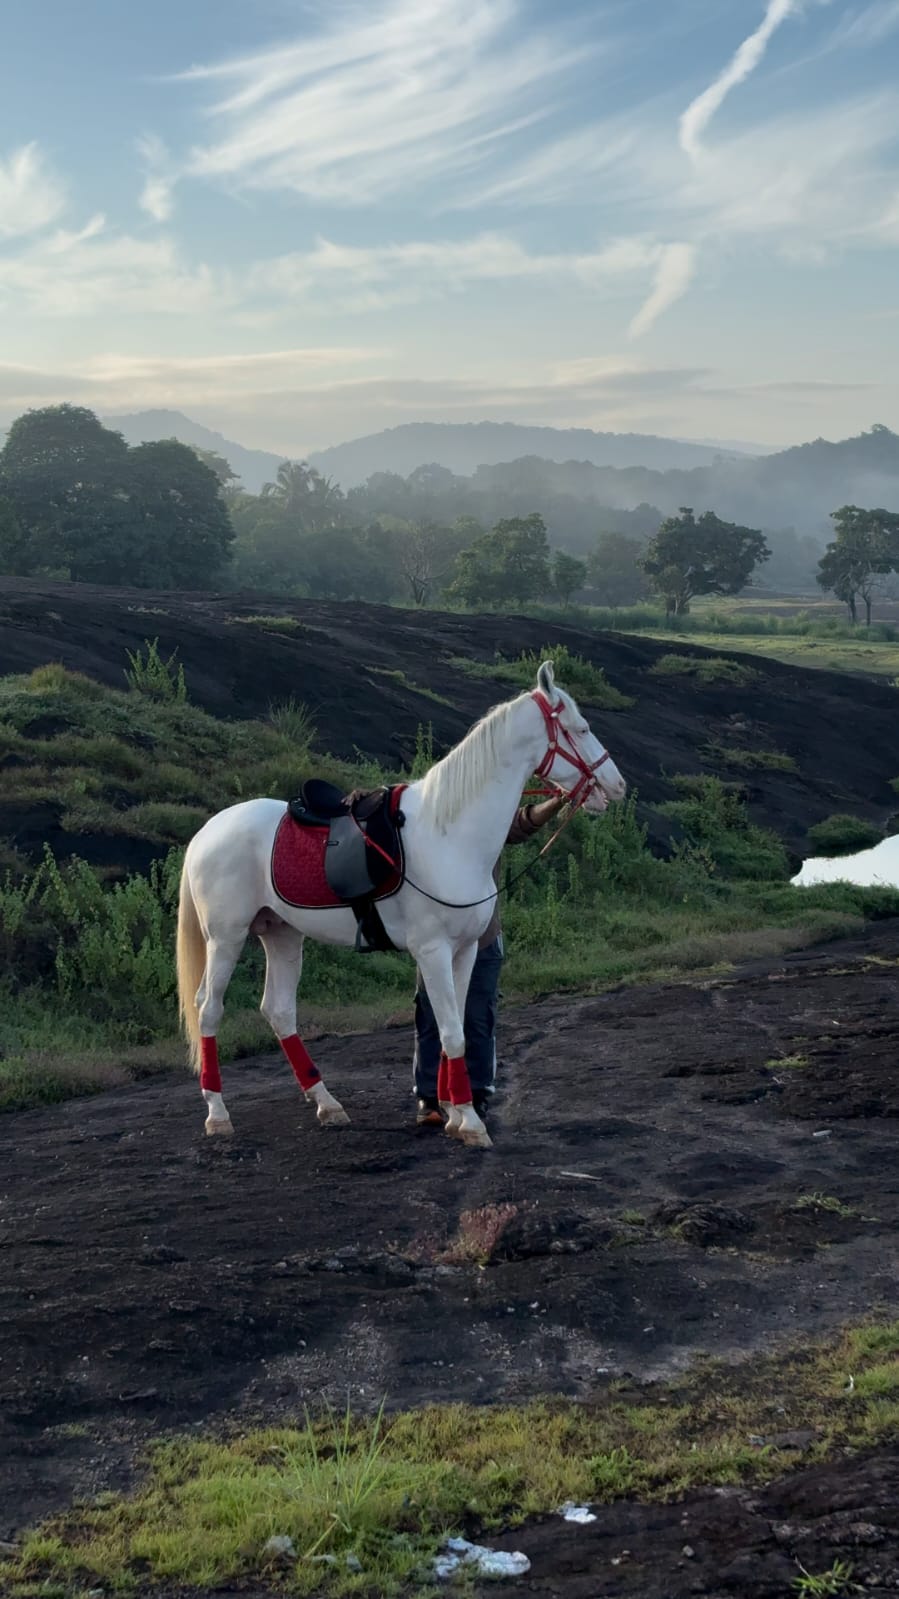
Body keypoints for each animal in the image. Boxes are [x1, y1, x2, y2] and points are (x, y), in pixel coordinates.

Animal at [176, 659, 626, 1149]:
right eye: (580, 729)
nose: (617, 785)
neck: (449, 833)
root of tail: (207, 831)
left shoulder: (465, 951)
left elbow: (458, 1029)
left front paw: (452, 1111)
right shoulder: (433, 951)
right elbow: (450, 1032)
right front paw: (470, 1121)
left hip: (281, 934)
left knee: (278, 1010)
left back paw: (327, 1103)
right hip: (226, 938)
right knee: (208, 1008)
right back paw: (218, 1113)